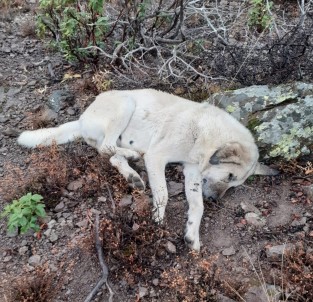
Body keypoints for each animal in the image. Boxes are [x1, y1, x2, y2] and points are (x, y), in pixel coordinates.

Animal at [17, 88, 276, 251]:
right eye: (230, 176)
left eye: (234, 186)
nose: (215, 200)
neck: (204, 136)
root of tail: (81, 119)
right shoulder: (158, 157)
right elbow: (163, 193)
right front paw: (158, 218)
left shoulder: (192, 173)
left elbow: (197, 206)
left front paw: (192, 234)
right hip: (127, 103)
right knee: (108, 148)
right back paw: (134, 157)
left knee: (109, 155)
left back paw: (133, 175)